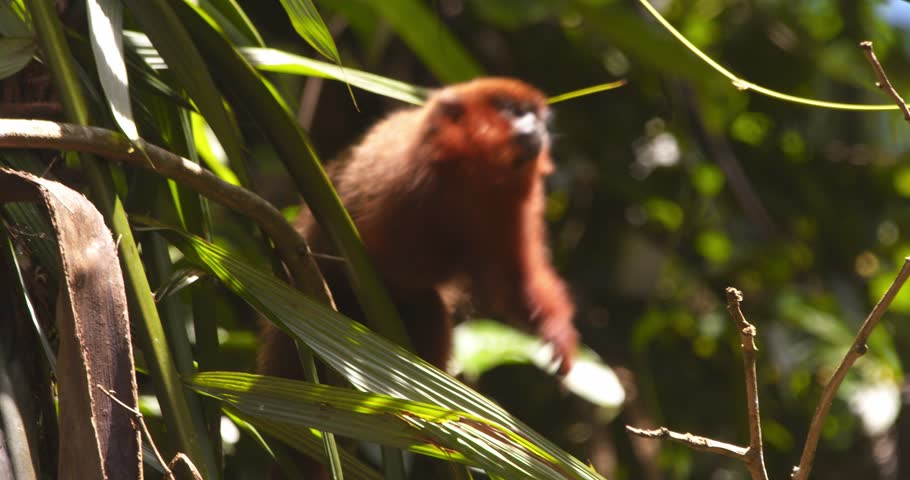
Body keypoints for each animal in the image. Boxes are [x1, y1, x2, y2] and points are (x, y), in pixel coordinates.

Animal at [258, 77, 578, 381]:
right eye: (514, 111)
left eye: (538, 117)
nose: (538, 127)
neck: (469, 175)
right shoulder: (405, 179)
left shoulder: (513, 201)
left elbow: (511, 277)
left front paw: (556, 331)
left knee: (428, 305)